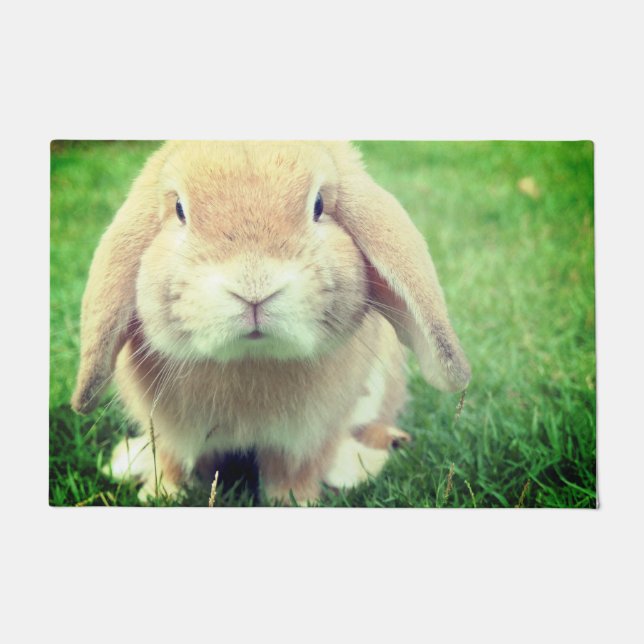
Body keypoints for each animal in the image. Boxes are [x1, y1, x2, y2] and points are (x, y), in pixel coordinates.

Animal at [71, 141, 470, 505]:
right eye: (180, 210)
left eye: (318, 205)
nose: (253, 287)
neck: (250, 358)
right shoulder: (169, 433)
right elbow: (173, 462)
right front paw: (159, 495)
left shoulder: (306, 438)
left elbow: (294, 472)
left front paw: (295, 501)